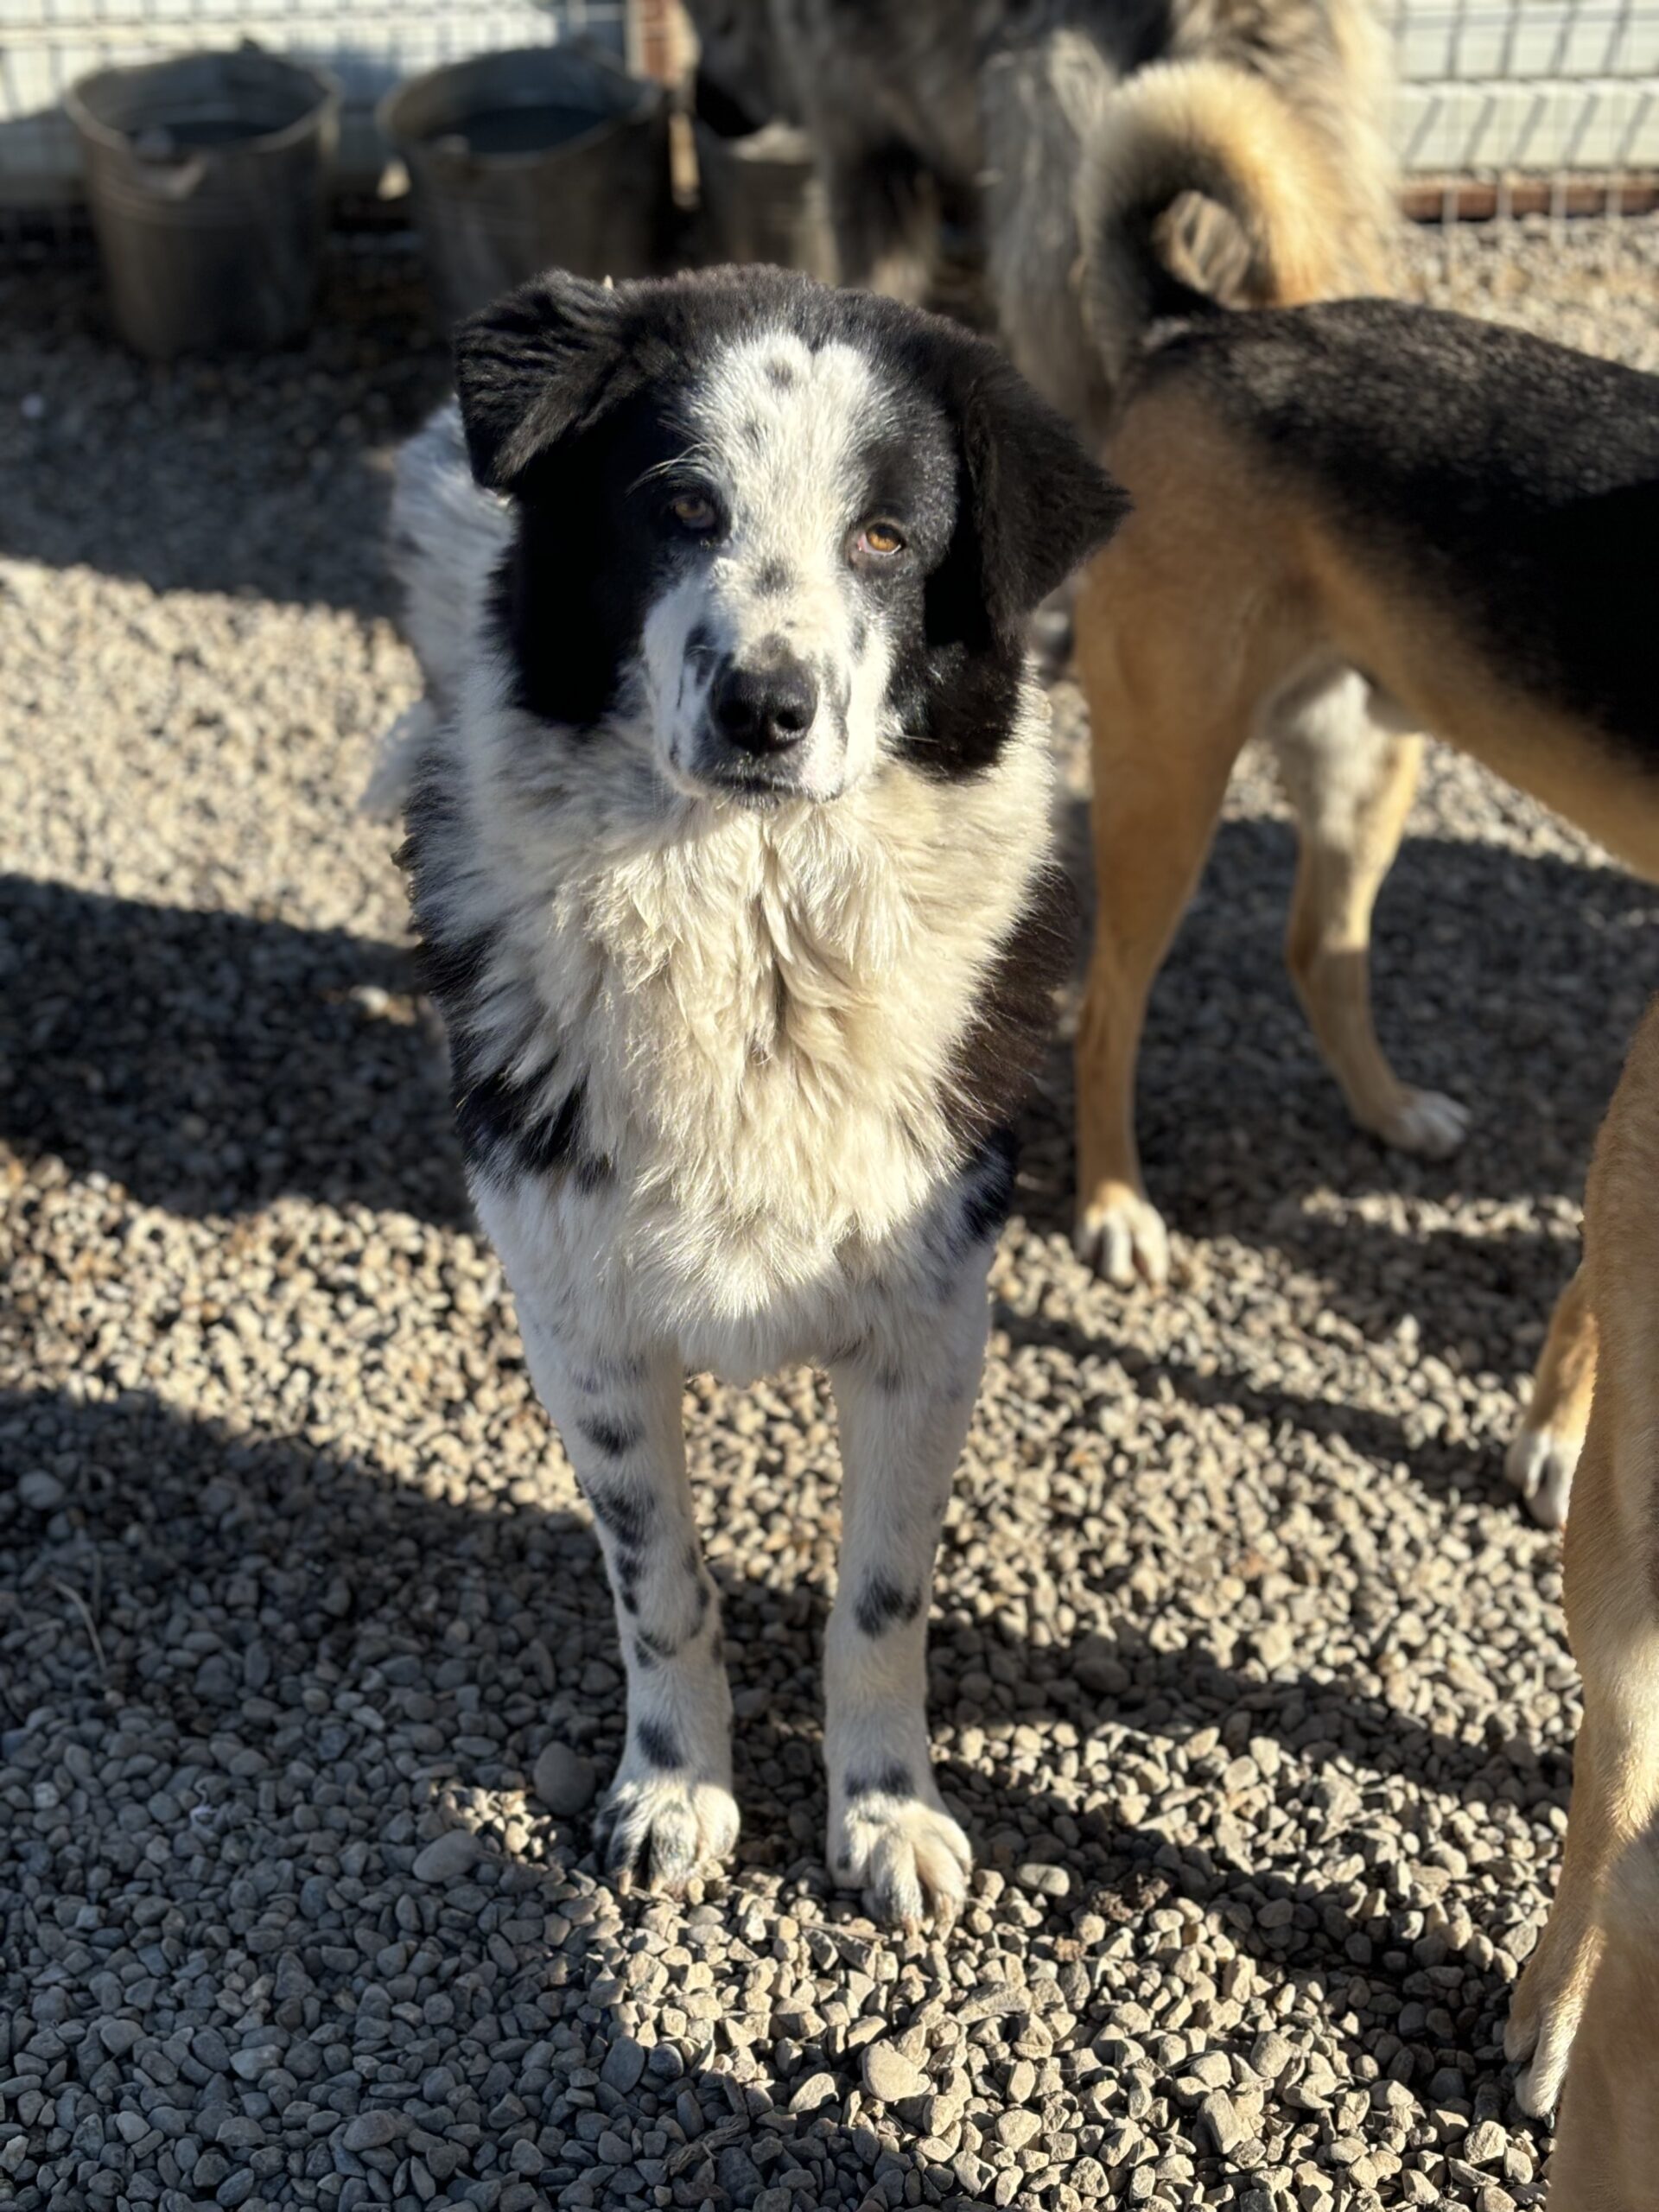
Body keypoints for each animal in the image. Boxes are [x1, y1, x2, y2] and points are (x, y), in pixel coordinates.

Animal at [386, 265, 1124, 1922]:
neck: (754, 930)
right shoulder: (583, 1326)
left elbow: (880, 1601)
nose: (766, 708)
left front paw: (887, 1812)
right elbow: (661, 1589)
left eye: (886, 539)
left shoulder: (931, 1323)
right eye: (679, 504)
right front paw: (674, 1793)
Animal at [1069, 296, 1659, 1529]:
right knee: (1107, 1012)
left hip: (1365, 765)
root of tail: (1199, 326)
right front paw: (1561, 1442)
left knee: (1320, 952)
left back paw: (1391, 1111)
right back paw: (1117, 1204)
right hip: (1169, 771)